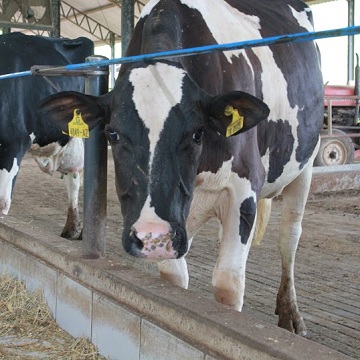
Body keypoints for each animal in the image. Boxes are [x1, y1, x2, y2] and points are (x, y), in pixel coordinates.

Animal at [38, 0, 324, 334]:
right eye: (112, 133)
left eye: (197, 133)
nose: (153, 237)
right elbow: (174, 277)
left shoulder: (244, 185)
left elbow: (228, 283)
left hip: (305, 164)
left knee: (289, 236)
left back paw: (290, 313)